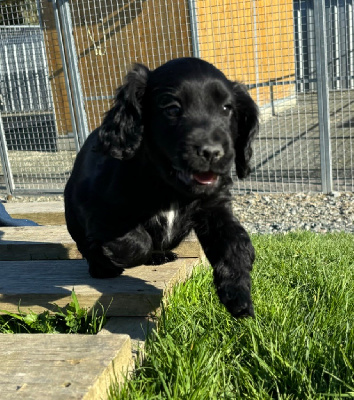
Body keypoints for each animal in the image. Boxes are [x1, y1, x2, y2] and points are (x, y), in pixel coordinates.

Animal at [64, 57, 258, 318]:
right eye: (172, 109)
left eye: (227, 109)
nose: (212, 152)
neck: (170, 187)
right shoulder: (99, 210)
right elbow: (135, 241)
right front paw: (113, 256)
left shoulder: (214, 207)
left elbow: (234, 243)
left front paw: (239, 295)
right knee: (86, 245)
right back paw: (103, 267)